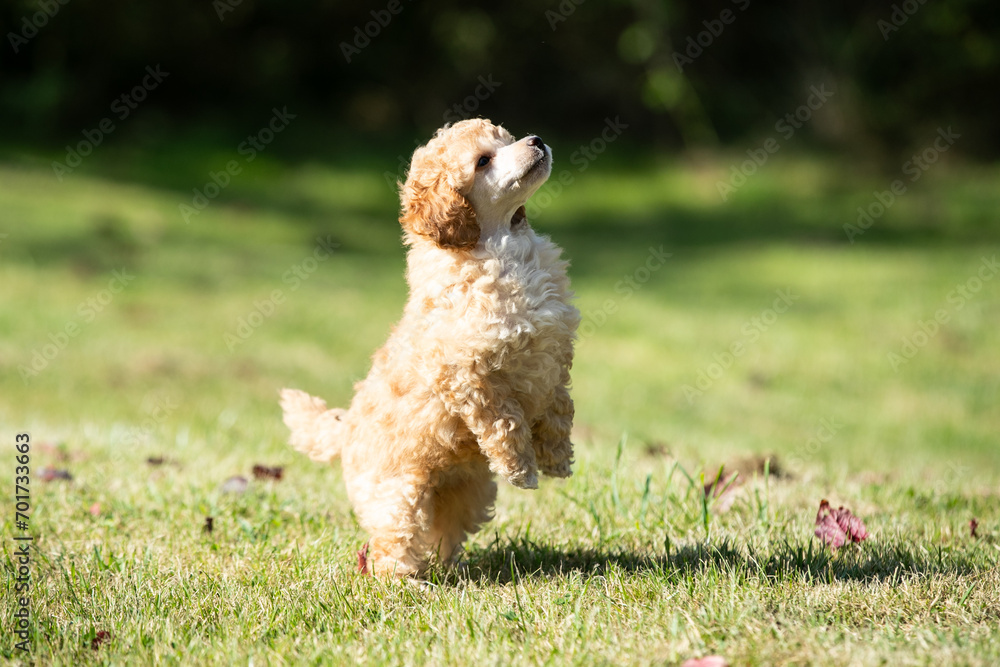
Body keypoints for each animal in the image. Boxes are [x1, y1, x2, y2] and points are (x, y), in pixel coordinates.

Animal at [280, 117, 580, 576]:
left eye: (508, 139)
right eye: (483, 161)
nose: (536, 140)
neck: (504, 247)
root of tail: (345, 429)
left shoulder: (554, 354)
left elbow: (559, 407)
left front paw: (558, 460)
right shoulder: (469, 374)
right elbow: (506, 421)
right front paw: (522, 470)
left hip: (468, 493)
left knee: (444, 530)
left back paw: (448, 568)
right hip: (395, 491)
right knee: (392, 541)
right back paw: (404, 581)